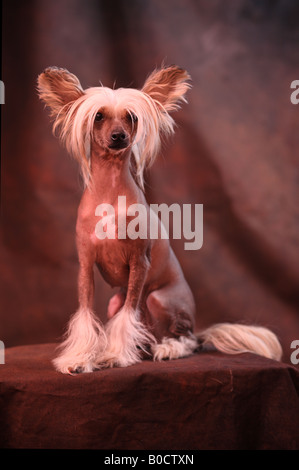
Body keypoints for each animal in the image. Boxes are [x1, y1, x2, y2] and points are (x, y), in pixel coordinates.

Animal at [38, 67, 284, 374]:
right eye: (98, 116)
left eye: (131, 117)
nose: (119, 136)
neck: (109, 192)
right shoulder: (85, 265)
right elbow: (85, 313)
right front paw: (80, 359)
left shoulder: (138, 264)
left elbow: (129, 312)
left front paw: (115, 356)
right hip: (114, 302)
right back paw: (143, 348)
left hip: (159, 299)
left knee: (185, 339)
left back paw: (167, 349)